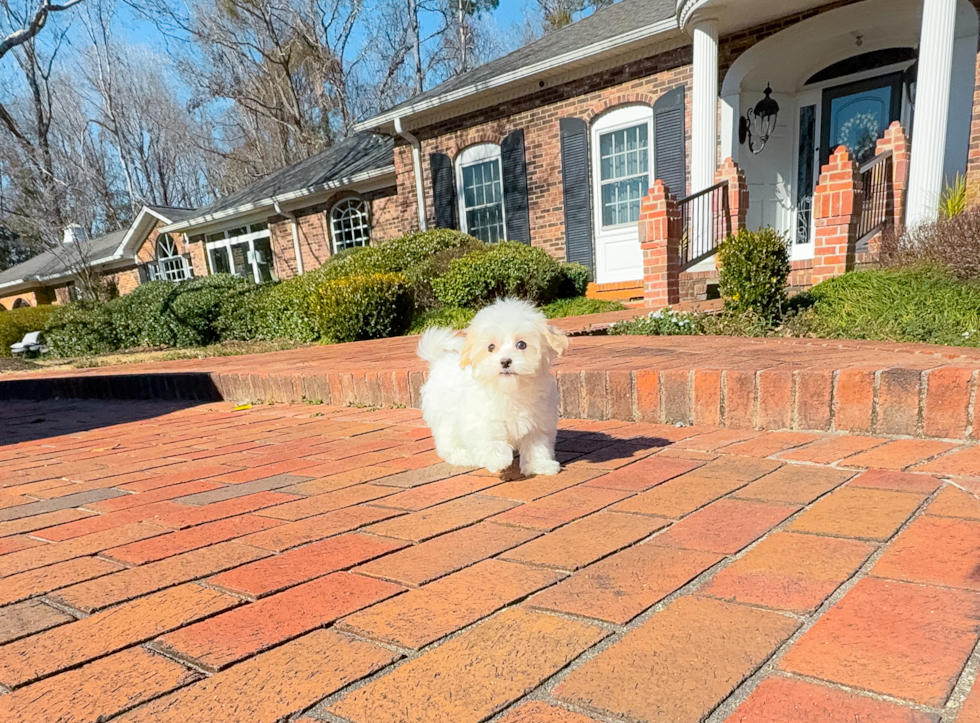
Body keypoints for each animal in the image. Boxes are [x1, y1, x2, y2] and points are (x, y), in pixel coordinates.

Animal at [418, 298, 572, 476]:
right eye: (491, 347)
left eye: (521, 344)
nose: (505, 361)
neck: (510, 390)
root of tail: (439, 360)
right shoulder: (481, 417)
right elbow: (489, 436)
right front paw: (497, 458)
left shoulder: (539, 422)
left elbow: (537, 445)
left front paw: (540, 465)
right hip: (444, 416)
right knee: (447, 440)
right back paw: (461, 456)